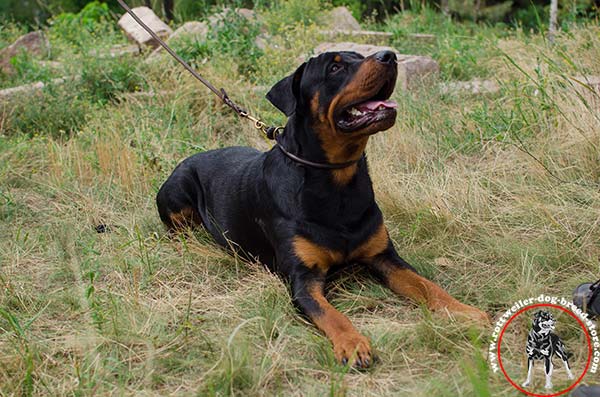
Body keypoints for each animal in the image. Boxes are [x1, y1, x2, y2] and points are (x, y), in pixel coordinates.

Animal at [157, 50, 490, 368]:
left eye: (359, 56)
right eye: (335, 67)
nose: (390, 55)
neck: (336, 180)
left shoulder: (384, 256)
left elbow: (427, 286)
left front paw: (466, 312)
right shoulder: (303, 279)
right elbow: (332, 315)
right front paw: (353, 345)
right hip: (177, 192)